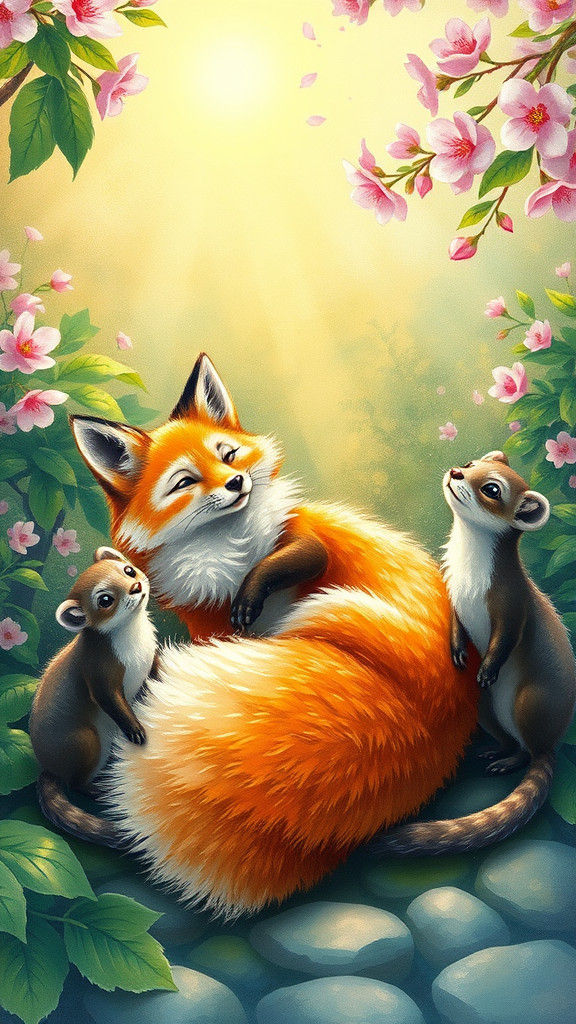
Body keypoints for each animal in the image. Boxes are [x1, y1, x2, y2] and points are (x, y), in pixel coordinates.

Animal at [66, 353, 484, 916]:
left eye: (228, 454)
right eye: (185, 482)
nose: (236, 483)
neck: (227, 551)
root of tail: (433, 727)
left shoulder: (303, 542)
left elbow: (297, 558)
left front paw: (253, 591)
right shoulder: (207, 625)